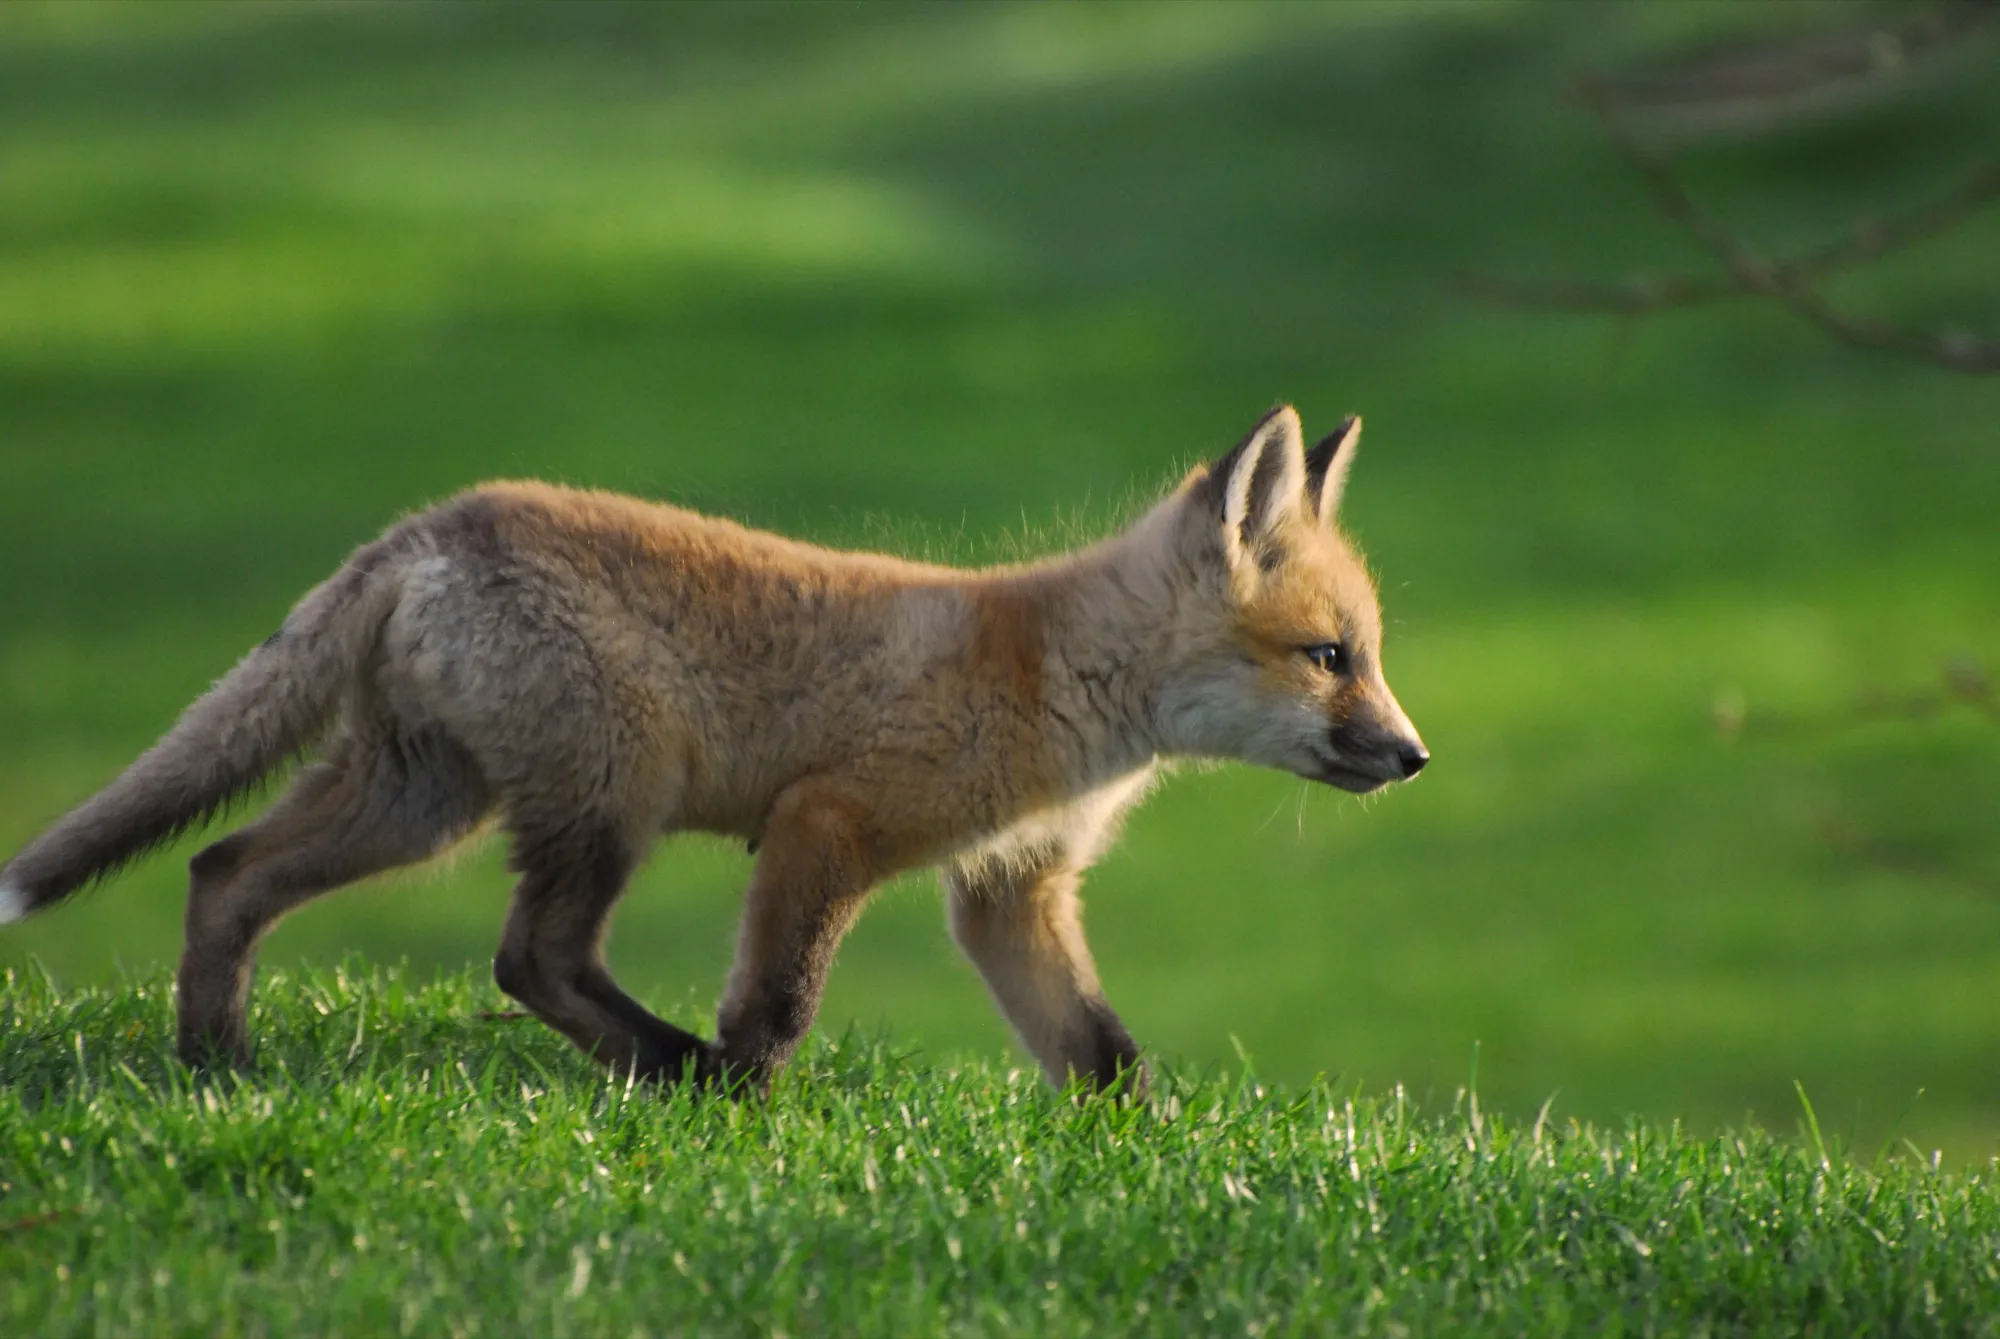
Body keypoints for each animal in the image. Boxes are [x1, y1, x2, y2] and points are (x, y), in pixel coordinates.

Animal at [0, 405, 1426, 1096]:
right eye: (1328, 657)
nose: (1413, 757)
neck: (1047, 680)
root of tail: (426, 525)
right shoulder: (825, 823)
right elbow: (778, 1005)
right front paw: (751, 1110)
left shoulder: (1009, 891)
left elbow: (1102, 1055)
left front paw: (1143, 1152)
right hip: (611, 797)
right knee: (532, 957)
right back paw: (678, 1074)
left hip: (420, 800)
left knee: (224, 872)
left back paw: (214, 1069)